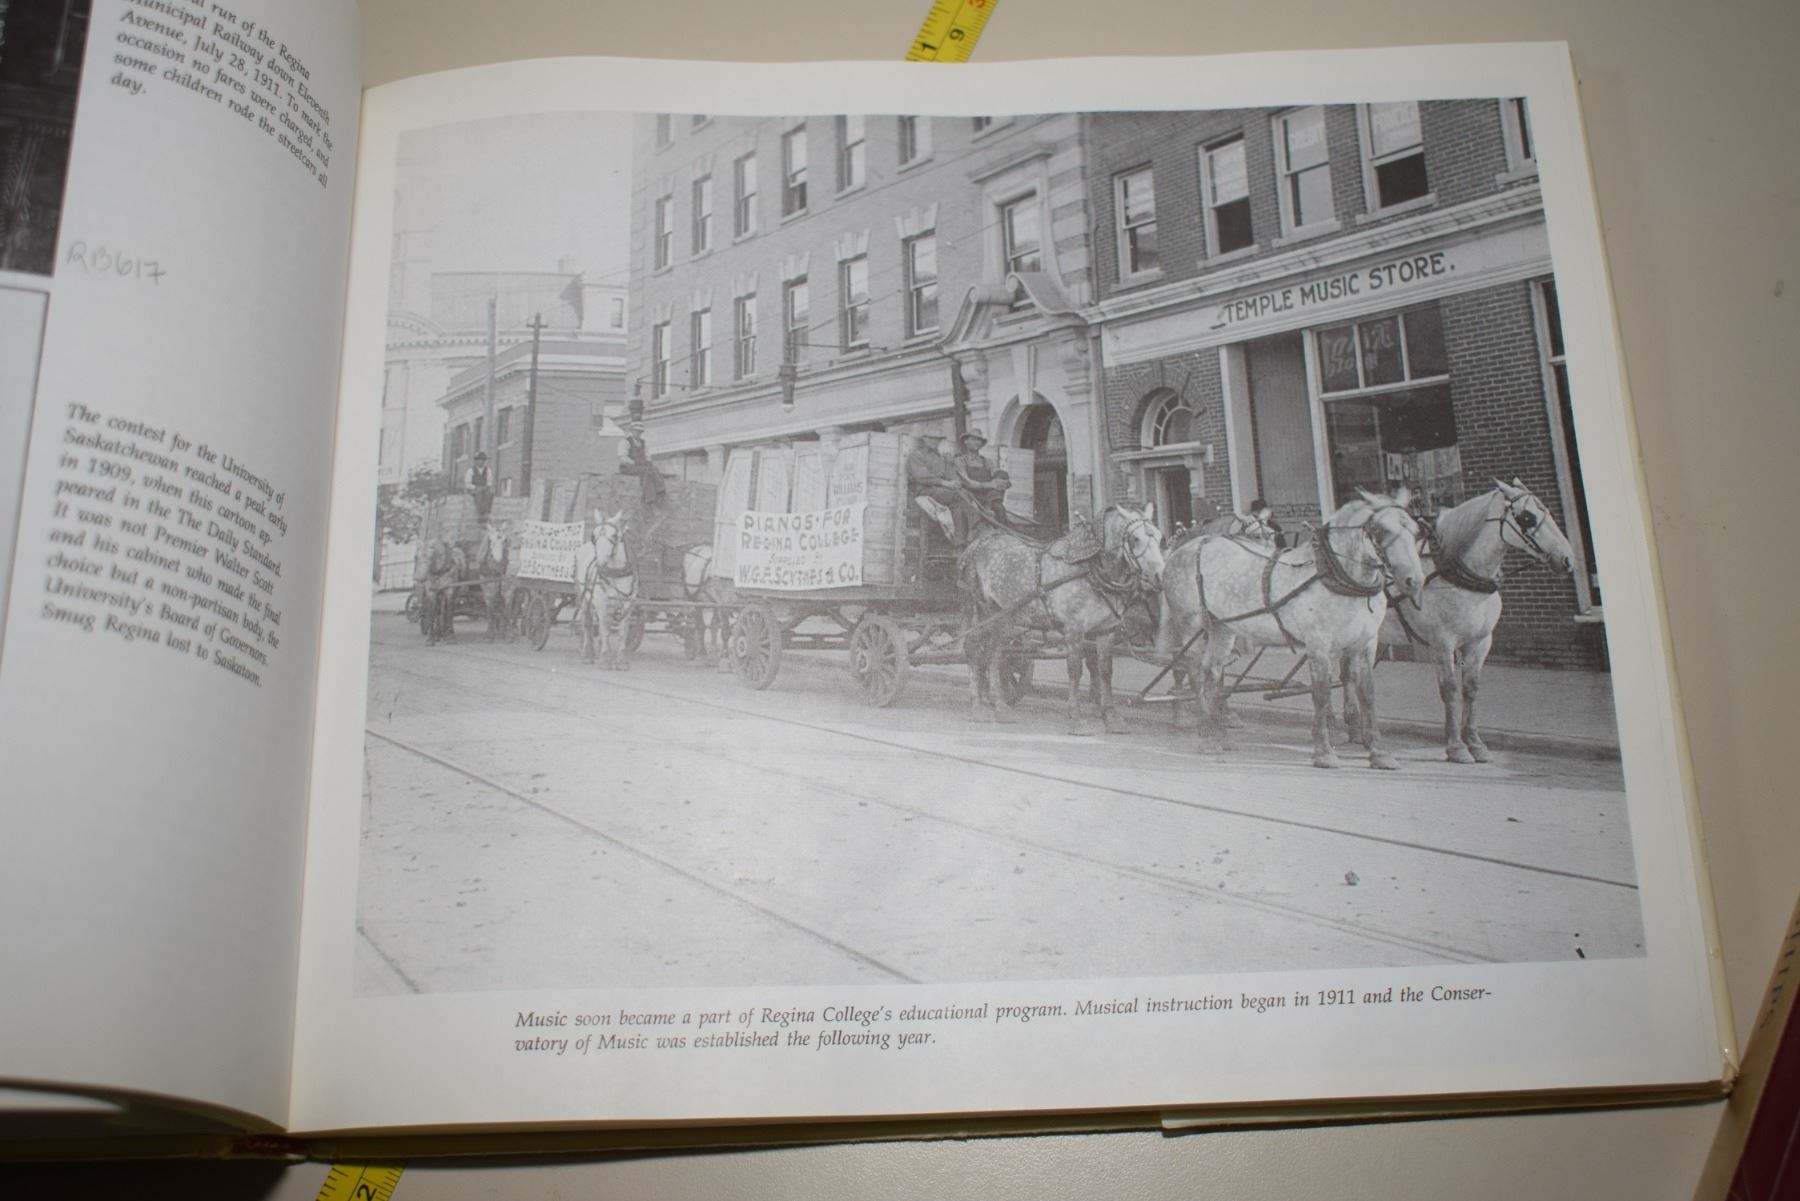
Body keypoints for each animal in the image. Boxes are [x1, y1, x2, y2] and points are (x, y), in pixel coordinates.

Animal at [575, 510, 637, 670]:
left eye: (614, 536)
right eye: (593, 536)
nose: (600, 563)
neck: (615, 573)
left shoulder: (628, 604)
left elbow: (623, 631)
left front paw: (621, 660)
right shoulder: (600, 602)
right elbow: (604, 628)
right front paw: (604, 658)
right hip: (585, 599)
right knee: (587, 623)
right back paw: (588, 654)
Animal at [959, 503, 1165, 734]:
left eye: (1159, 537)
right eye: (1135, 538)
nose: (1159, 575)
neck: (1089, 568)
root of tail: (975, 545)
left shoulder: (1107, 629)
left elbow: (1105, 670)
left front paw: (1112, 717)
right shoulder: (1074, 629)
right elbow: (1075, 670)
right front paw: (1076, 717)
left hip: (1004, 616)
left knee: (995, 654)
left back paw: (1001, 707)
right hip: (981, 609)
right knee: (973, 647)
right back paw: (978, 706)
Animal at [1174, 488, 1426, 770]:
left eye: (1416, 531)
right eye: (1380, 531)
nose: (1414, 581)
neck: (1336, 576)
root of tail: (1192, 545)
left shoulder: (1365, 644)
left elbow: (1367, 694)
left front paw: (1378, 752)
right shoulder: (1318, 644)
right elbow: (1321, 693)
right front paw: (1324, 752)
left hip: (1223, 627)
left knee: (1212, 672)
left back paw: (1219, 736)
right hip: (1191, 625)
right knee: (1194, 672)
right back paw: (1205, 733)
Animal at [1340, 479, 1576, 764]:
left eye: (1547, 511)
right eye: (1527, 517)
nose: (1567, 559)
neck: (1452, 574)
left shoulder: (1480, 642)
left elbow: (1471, 689)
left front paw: (1475, 743)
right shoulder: (1442, 643)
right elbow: (1450, 690)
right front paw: (1456, 747)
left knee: (1349, 674)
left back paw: (1355, 731)